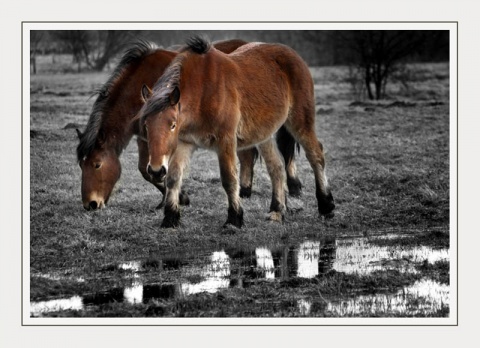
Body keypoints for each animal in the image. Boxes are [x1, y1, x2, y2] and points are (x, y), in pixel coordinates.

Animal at [76, 39, 302, 211]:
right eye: (81, 165)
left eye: (97, 165)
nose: (90, 204)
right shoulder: (147, 136)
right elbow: (147, 170)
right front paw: (169, 200)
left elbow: (154, 168)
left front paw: (179, 198)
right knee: (248, 154)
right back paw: (246, 190)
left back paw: (292, 187)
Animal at [139, 37, 334, 228]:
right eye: (147, 125)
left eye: (172, 125)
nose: (156, 170)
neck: (202, 92)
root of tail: (294, 56)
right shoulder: (184, 143)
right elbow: (173, 178)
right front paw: (170, 218)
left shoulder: (225, 141)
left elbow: (229, 179)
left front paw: (234, 219)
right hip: (263, 135)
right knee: (276, 167)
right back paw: (277, 211)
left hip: (300, 122)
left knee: (316, 155)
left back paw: (326, 206)